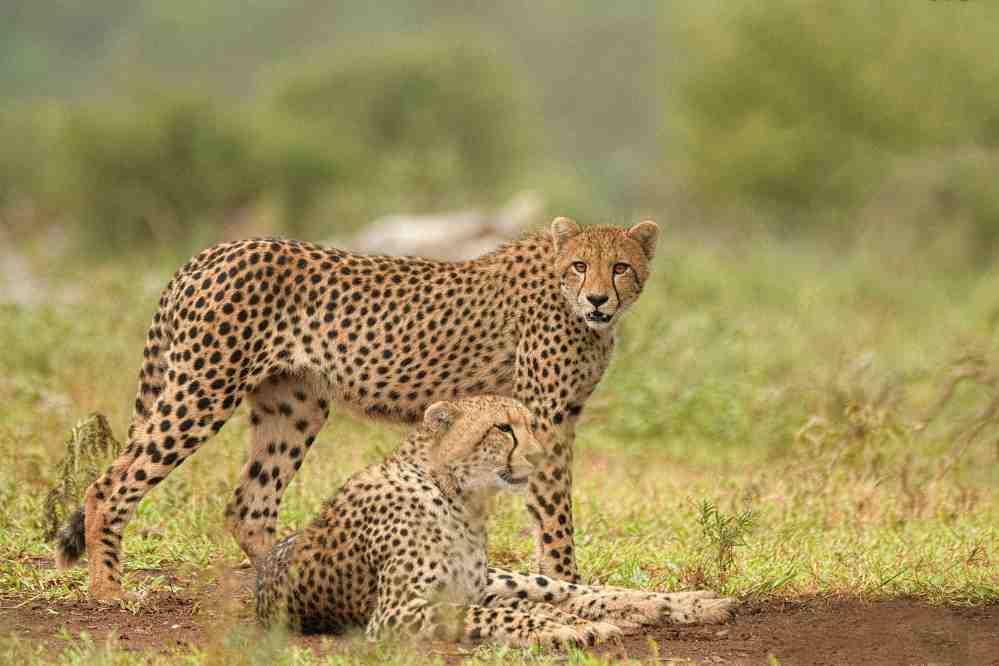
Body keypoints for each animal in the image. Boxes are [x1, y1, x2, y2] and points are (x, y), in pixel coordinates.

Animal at [55, 217, 660, 600]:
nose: (598, 298)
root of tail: (213, 251)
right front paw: (567, 582)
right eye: (580, 265)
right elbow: (554, 513)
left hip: (294, 405)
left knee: (250, 505)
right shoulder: (545, 418)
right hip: (203, 388)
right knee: (110, 484)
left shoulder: (559, 418)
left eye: (620, 267)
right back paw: (108, 592)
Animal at [255, 395, 737, 645]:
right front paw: (570, 630)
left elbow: (520, 610)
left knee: (578, 590)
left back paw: (695, 603)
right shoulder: (398, 612)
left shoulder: (464, 591)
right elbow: (503, 617)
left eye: (532, 425)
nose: (540, 456)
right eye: (503, 428)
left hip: (503, 577)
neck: (460, 496)